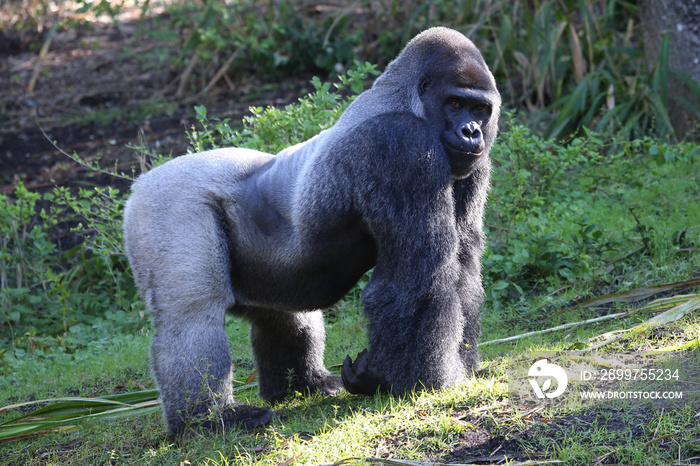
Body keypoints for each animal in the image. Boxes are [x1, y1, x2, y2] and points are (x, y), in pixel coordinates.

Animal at [123, 26, 500, 436]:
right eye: (454, 103)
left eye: (480, 109)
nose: (471, 131)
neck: (409, 99)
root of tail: (139, 183)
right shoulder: (401, 144)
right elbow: (420, 277)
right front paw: (415, 382)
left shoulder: (471, 163)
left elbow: (462, 266)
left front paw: (461, 366)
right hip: (165, 203)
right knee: (192, 316)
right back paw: (206, 419)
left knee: (283, 313)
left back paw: (304, 385)